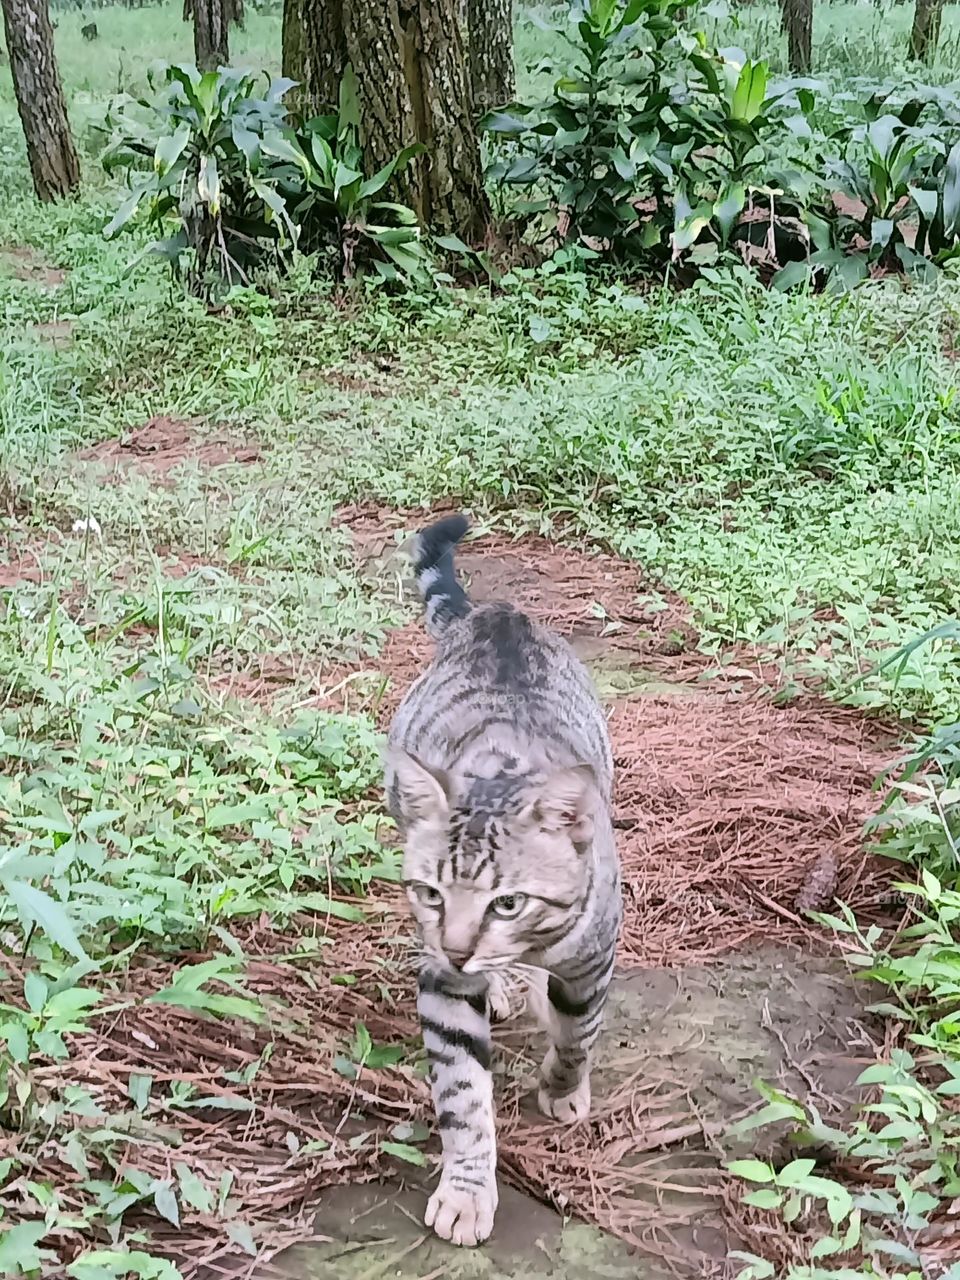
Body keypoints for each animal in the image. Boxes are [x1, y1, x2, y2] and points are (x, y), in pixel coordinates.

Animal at [386, 514, 624, 1244]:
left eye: (508, 903)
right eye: (431, 894)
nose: (460, 948)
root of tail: (496, 614)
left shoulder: (594, 956)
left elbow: (579, 1033)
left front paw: (563, 1088)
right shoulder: (442, 985)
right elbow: (463, 1096)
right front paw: (467, 1191)